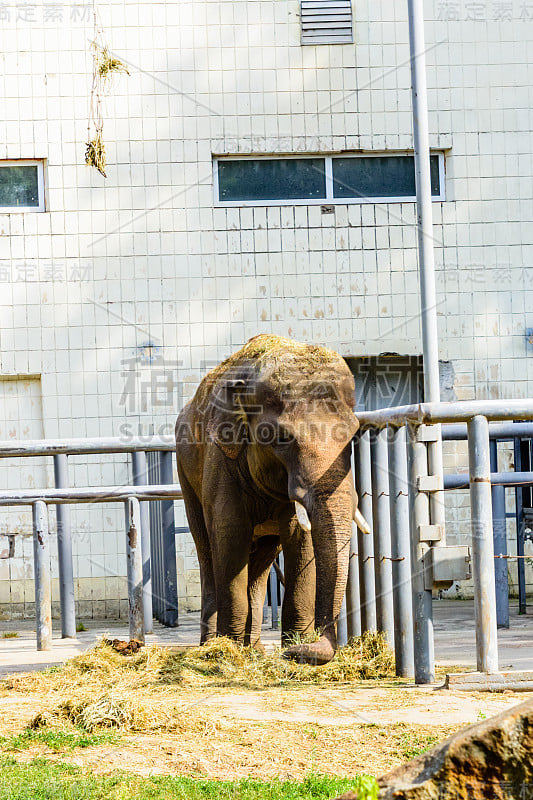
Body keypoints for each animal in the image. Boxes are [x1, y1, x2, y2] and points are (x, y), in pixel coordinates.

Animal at [174, 334, 366, 664]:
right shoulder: (221, 457)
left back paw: (255, 650)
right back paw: (212, 647)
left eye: (353, 436)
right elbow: (229, 535)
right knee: (207, 549)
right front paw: (228, 652)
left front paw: (296, 646)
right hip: (186, 474)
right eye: (283, 438)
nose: (294, 653)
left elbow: (301, 537)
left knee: (261, 560)